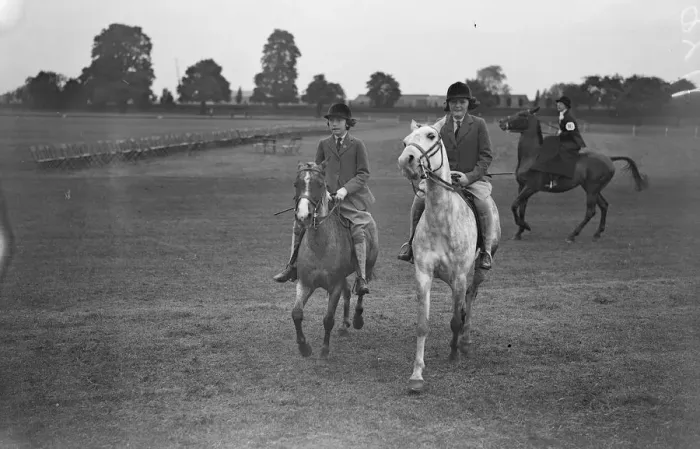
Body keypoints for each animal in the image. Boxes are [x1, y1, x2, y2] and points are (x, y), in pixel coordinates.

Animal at [290, 160, 379, 360]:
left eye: (319, 185)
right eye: (296, 184)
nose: (302, 216)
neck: (319, 246)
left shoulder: (334, 286)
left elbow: (328, 319)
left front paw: (324, 350)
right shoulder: (304, 283)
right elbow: (297, 313)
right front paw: (304, 347)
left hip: (367, 267)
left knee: (360, 290)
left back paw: (357, 319)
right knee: (348, 292)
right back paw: (344, 325)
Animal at [397, 118, 498, 392]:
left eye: (431, 136)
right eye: (405, 141)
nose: (406, 161)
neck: (442, 219)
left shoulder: (461, 276)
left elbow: (456, 318)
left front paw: (454, 354)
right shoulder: (423, 274)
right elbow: (423, 324)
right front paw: (416, 375)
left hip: (479, 272)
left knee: (470, 300)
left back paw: (465, 342)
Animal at [498, 107, 648, 242]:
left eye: (521, 115)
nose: (501, 122)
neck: (532, 155)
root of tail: (609, 159)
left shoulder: (531, 187)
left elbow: (514, 206)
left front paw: (525, 226)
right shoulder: (522, 187)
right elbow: (521, 209)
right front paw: (519, 232)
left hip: (592, 189)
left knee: (591, 211)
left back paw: (572, 235)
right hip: (592, 188)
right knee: (604, 205)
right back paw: (597, 233)